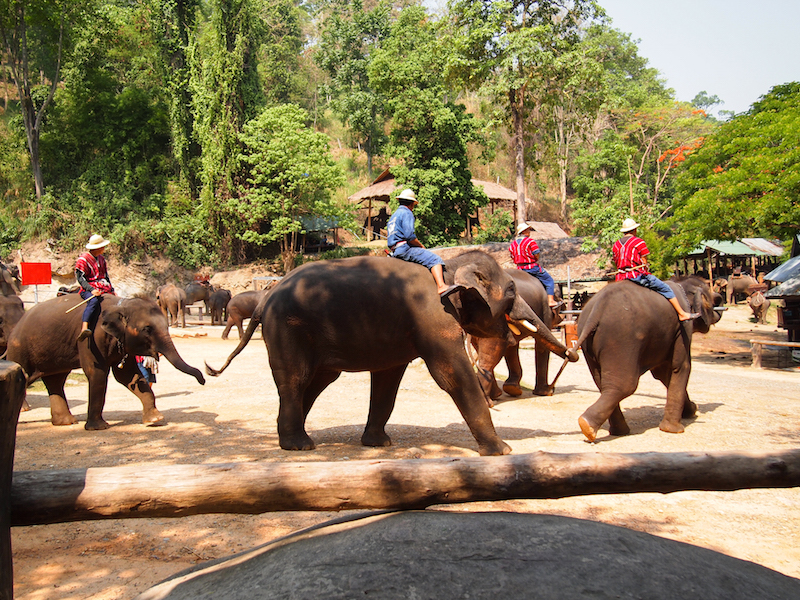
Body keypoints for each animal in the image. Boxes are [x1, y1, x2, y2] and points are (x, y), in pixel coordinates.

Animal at [6, 294, 205, 429]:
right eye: (147, 329)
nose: (202, 379)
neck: (121, 305)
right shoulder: (90, 339)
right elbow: (97, 372)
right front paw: (98, 427)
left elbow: (128, 376)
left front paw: (155, 419)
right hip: (20, 350)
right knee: (28, 376)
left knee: (56, 380)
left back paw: (66, 422)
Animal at [469, 269, 568, 405]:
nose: (551, 389)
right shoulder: (545, 312)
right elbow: (541, 346)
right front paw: (545, 392)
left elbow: (512, 347)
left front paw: (512, 388)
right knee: (489, 358)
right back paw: (488, 401)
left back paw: (495, 395)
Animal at [574, 276, 723, 442]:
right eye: (710, 300)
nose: (719, 298)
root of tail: (596, 311)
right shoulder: (683, 327)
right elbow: (679, 366)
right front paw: (673, 429)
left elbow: (663, 373)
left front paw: (691, 410)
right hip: (621, 340)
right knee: (624, 385)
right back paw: (588, 426)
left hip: (589, 342)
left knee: (603, 384)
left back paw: (612, 430)